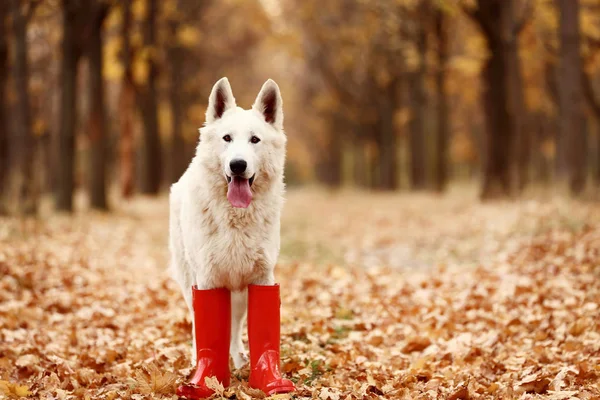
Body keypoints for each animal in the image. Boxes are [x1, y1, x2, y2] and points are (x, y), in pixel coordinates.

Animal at [170, 77, 288, 368]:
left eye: (255, 140)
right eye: (227, 138)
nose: (237, 165)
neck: (236, 218)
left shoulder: (261, 278)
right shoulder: (208, 279)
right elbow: (206, 326)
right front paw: (209, 370)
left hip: (240, 292)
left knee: (234, 327)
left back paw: (238, 357)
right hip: (191, 280)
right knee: (197, 320)